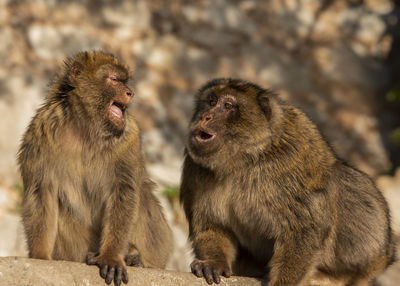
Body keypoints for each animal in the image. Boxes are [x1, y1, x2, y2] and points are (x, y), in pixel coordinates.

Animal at [18, 50, 172, 284]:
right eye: (114, 79)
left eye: (125, 81)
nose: (130, 92)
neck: (87, 128)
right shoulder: (40, 132)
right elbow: (41, 192)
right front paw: (40, 256)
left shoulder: (129, 136)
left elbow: (123, 191)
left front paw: (111, 256)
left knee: (142, 192)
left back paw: (135, 257)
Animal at [180, 77, 396, 284]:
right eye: (211, 102)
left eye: (227, 106)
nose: (206, 117)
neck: (241, 161)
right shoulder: (195, 169)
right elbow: (212, 224)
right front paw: (213, 262)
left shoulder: (288, 164)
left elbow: (304, 228)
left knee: (344, 180)